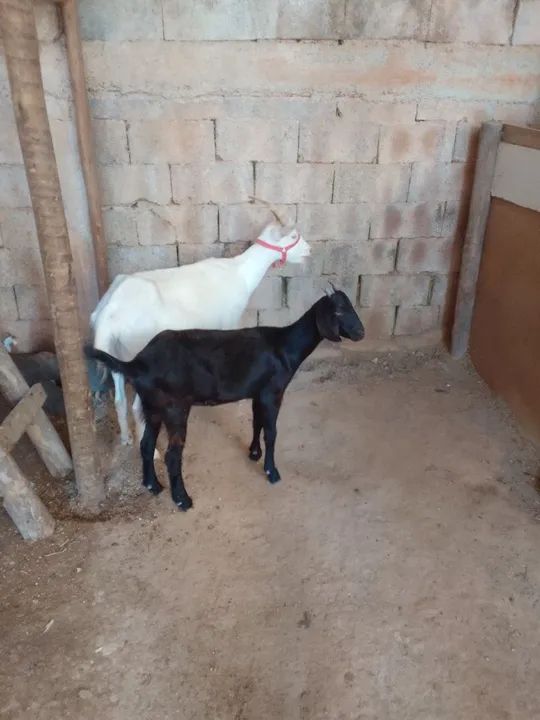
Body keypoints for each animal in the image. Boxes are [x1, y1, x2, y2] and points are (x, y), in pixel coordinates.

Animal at [86, 287, 364, 510]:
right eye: (339, 312)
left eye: (351, 306)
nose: (361, 332)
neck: (285, 347)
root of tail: (137, 363)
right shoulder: (273, 392)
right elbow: (271, 432)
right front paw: (271, 471)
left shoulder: (258, 392)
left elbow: (256, 422)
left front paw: (253, 453)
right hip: (174, 407)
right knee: (172, 455)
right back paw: (182, 500)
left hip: (152, 406)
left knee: (146, 444)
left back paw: (153, 485)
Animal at [91, 220, 310, 449]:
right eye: (293, 236)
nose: (309, 251)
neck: (240, 272)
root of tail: (107, 316)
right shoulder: (228, 321)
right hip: (139, 361)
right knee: (137, 408)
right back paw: (152, 450)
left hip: (116, 356)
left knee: (120, 402)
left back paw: (126, 439)